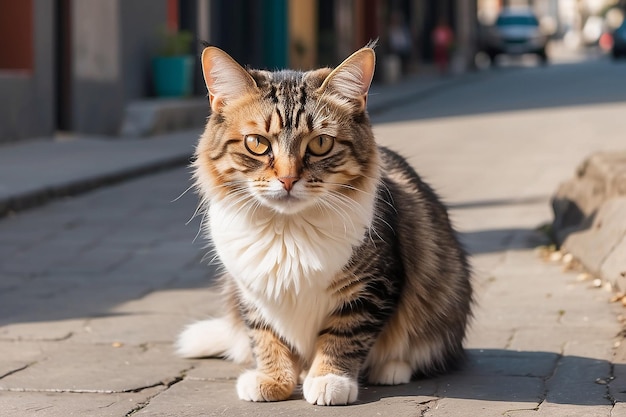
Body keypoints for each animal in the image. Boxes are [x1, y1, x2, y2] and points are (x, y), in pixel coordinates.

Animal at [174, 44, 468, 404]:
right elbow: (266, 337)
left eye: (320, 144)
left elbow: (344, 336)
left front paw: (329, 379)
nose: (288, 179)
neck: (287, 231)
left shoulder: (372, 287)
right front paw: (274, 380)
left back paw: (391, 369)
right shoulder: (251, 292)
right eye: (257, 143)